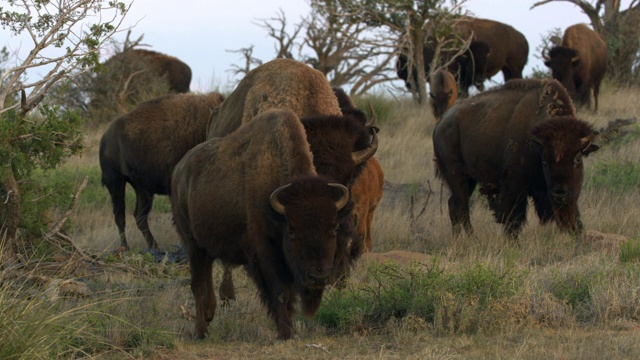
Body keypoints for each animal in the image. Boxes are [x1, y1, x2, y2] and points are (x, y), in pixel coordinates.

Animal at [96, 91, 224, 249]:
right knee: (120, 214)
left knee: (139, 216)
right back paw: (125, 247)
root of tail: (104, 139)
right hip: (115, 182)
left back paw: (154, 246)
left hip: (142, 189)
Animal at [172, 109, 356, 340]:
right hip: (192, 244)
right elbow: (280, 293)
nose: (318, 276)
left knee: (206, 274)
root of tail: (179, 170)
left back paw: (209, 314)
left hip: (207, 246)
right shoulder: (265, 254)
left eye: (334, 228)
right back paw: (201, 331)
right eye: (292, 230)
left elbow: (288, 295)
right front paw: (285, 333)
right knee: (196, 284)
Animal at [432, 78, 604, 236]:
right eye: (545, 161)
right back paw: (471, 239)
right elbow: (513, 220)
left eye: (578, 158)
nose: (559, 194)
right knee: (461, 207)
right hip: (457, 175)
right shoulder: (515, 187)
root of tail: (441, 123)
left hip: (470, 179)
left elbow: (575, 217)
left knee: (454, 205)